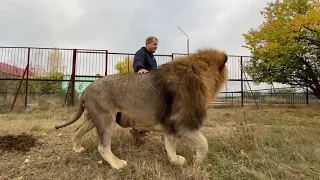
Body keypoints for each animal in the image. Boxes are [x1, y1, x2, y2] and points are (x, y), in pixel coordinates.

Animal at [55, 47, 230, 170]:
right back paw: (118, 164)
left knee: (76, 131)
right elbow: (204, 143)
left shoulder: (170, 124)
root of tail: (86, 89)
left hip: (93, 117)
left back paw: (77, 149)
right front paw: (197, 163)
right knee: (103, 146)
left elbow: (170, 146)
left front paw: (176, 160)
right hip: (105, 117)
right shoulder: (183, 123)